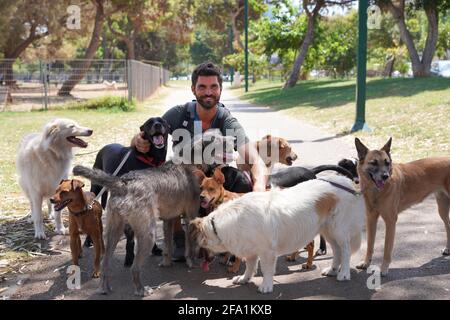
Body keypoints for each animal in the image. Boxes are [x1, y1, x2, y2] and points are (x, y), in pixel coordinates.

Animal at [84, 116, 169, 266]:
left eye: (162, 121)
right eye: (149, 123)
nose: (157, 125)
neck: (149, 159)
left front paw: (154, 249)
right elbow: (130, 237)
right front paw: (129, 257)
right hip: (96, 188)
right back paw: (88, 241)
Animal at [189, 176, 366, 294]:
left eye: (201, 247)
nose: (201, 262)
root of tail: (347, 182)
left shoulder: (267, 252)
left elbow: (266, 269)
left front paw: (266, 286)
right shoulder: (251, 249)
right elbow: (250, 266)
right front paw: (244, 279)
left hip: (339, 229)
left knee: (345, 250)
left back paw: (344, 273)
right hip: (328, 231)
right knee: (336, 250)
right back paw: (333, 269)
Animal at [356, 138, 450, 276]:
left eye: (387, 163)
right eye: (373, 163)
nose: (385, 176)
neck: (376, 191)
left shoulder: (390, 221)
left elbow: (386, 248)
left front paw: (384, 268)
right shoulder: (371, 219)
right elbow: (370, 244)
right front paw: (366, 263)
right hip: (442, 209)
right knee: (448, 226)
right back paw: (448, 248)